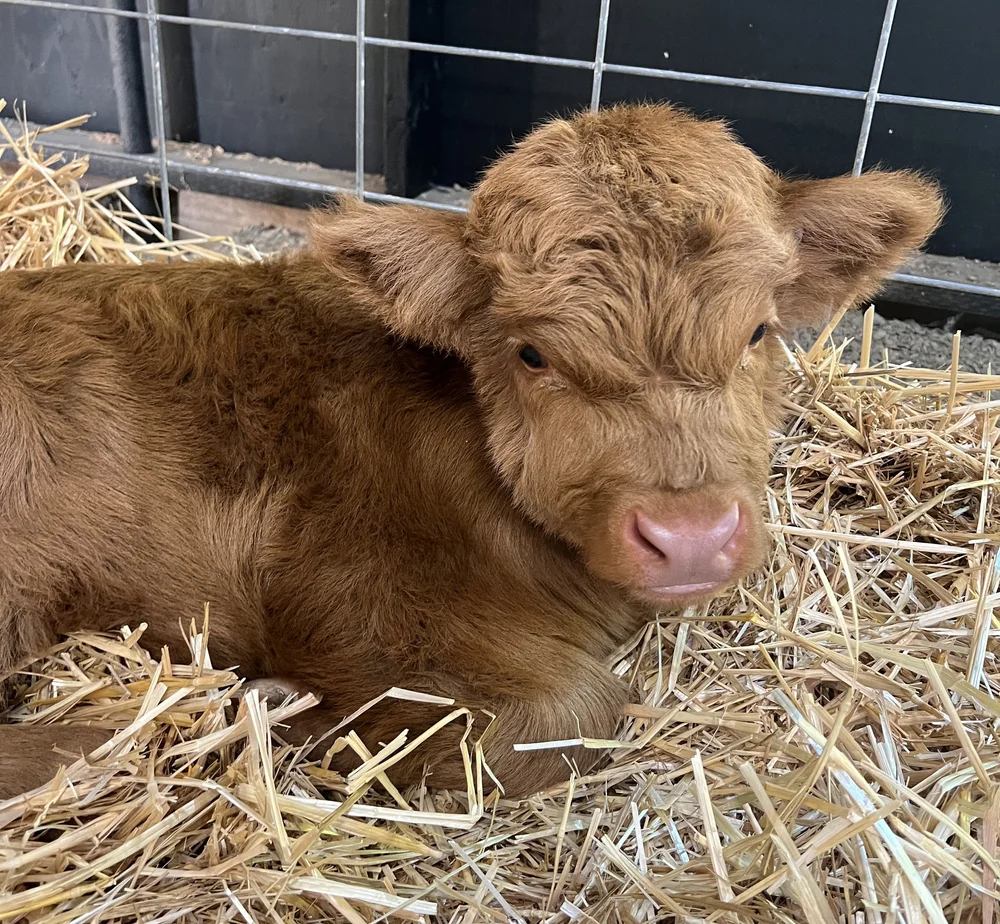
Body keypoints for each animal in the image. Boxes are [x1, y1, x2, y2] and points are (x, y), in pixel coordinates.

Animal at [0, 103, 943, 800]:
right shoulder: (361, 610)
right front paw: (287, 716)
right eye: (532, 354)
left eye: (757, 332)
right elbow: (577, 711)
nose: (690, 537)